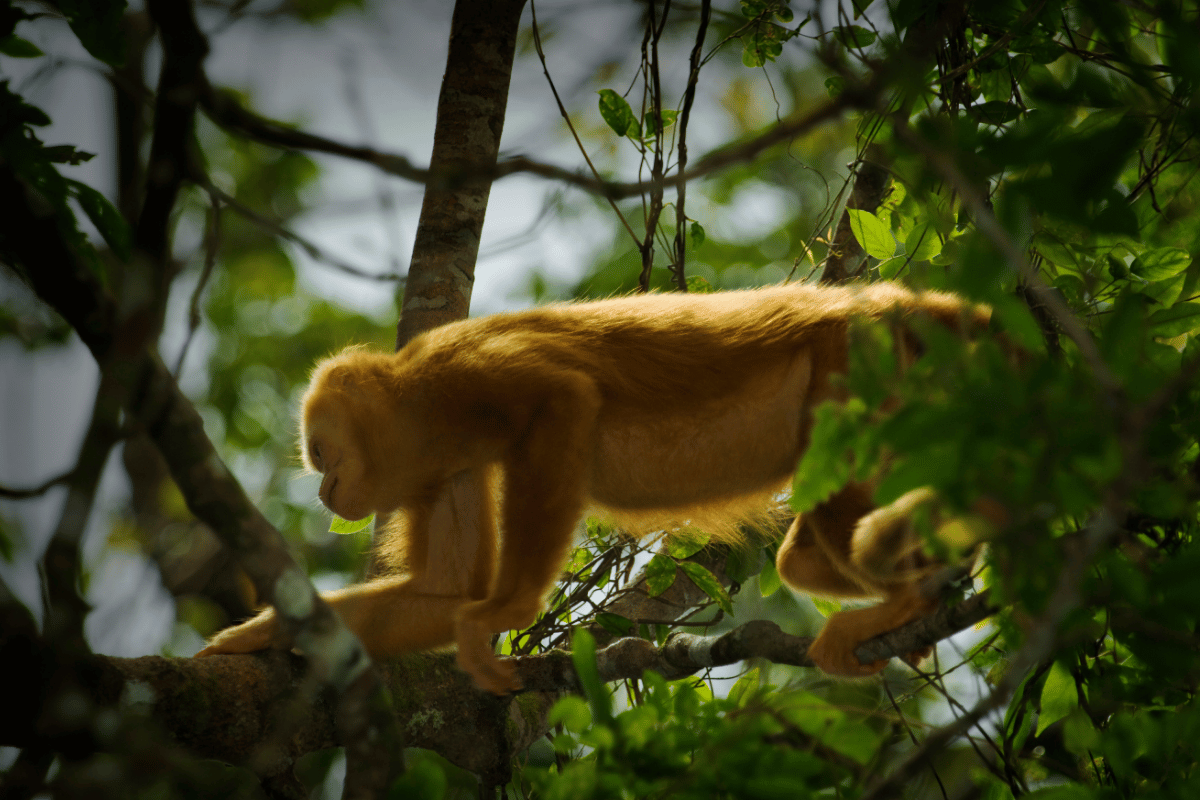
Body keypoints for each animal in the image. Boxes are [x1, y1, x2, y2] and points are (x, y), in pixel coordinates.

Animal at [201, 281, 993, 695]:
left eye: (321, 452)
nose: (326, 492)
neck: (424, 402)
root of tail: (894, 300)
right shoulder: (450, 462)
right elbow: (444, 593)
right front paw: (261, 634)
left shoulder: (465, 376)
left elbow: (565, 402)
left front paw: (507, 609)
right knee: (801, 557)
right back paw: (932, 586)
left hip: (855, 359)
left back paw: (908, 601)